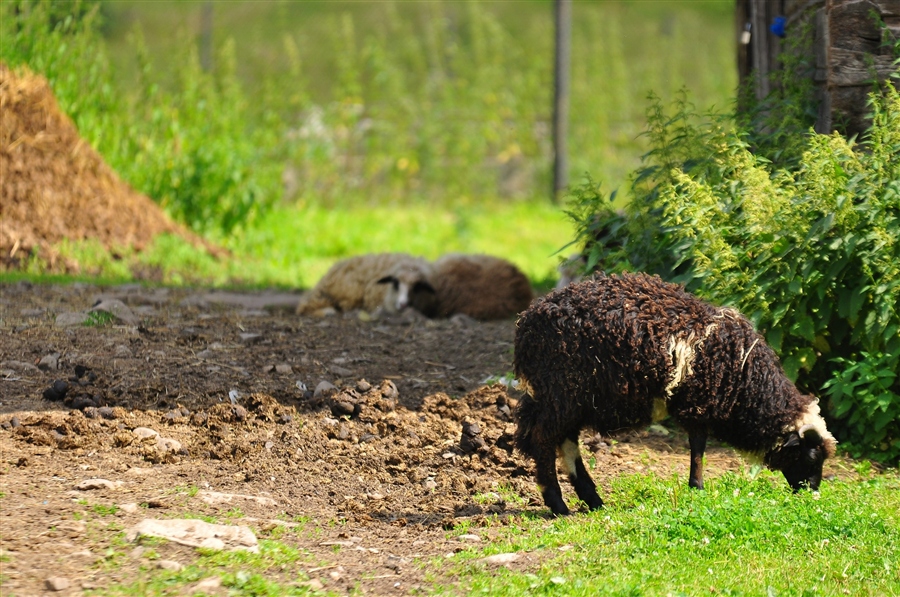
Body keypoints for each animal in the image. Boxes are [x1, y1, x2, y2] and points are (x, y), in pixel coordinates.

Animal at [512, 272, 836, 516]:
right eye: (811, 458)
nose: (812, 494)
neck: (747, 382)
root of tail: (526, 324)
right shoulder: (698, 402)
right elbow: (698, 447)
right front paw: (698, 487)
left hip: (568, 399)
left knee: (565, 442)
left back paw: (593, 500)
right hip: (563, 392)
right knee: (543, 440)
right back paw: (558, 504)